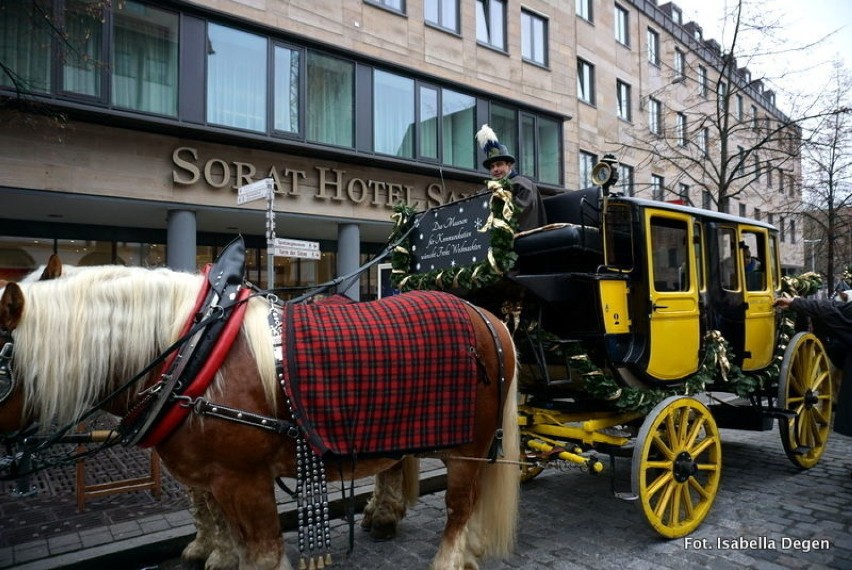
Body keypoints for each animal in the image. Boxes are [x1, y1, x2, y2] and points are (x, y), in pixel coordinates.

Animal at [0, 266, 520, 568]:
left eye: (2, 361)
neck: (193, 354)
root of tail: (487, 316)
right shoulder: (211, 477)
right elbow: (216, 521)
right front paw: (212, 553)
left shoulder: (243, 481)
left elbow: (263, 553)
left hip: (469, 447)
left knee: (461, 505)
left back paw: (452, 557)